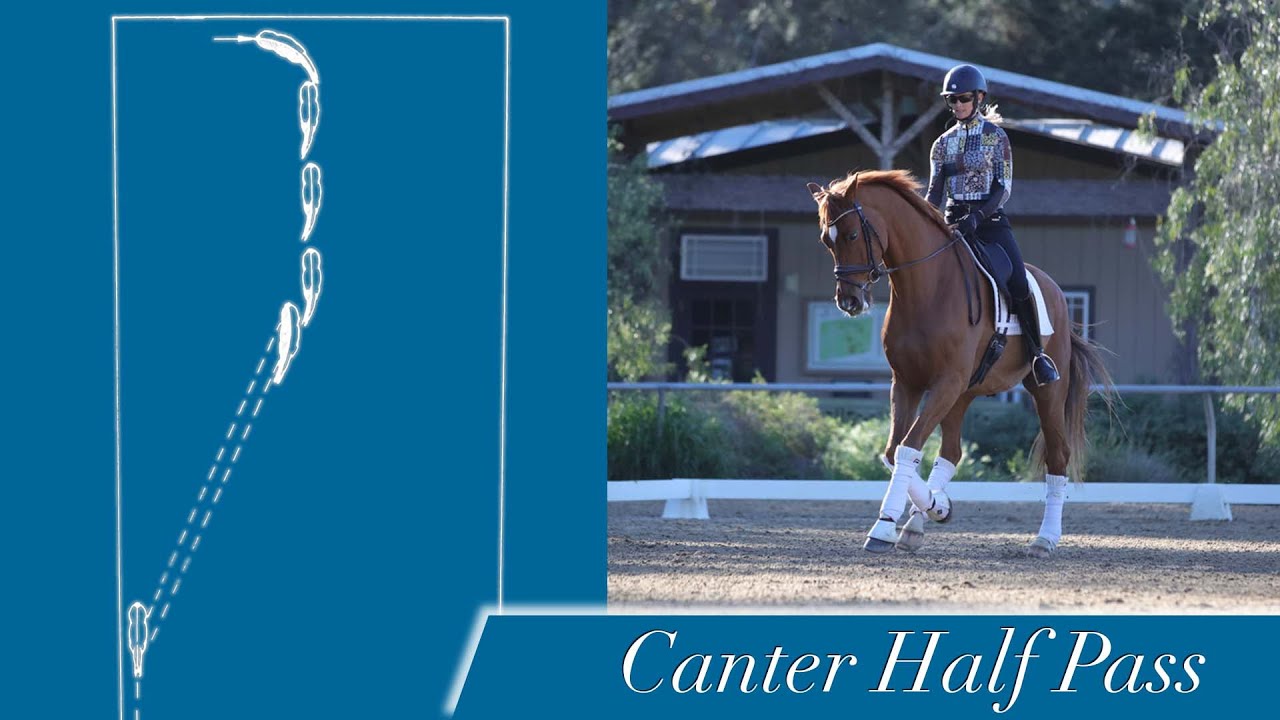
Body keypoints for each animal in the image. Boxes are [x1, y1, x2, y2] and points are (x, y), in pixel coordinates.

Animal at [806, 170, 1115, 557]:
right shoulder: (907, 383)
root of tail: (1055, 290)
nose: (849, 301)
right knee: (951, 452)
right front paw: (934, 507)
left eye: (850, 235)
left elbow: (907, 448)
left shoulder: (945, 382)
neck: (926, 287)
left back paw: (1044, 539)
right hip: (963, 393)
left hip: (1046, 391)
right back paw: (920, 521)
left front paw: (884, 526)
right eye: (825, 240)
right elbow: (893, 452)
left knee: (1057, 456)